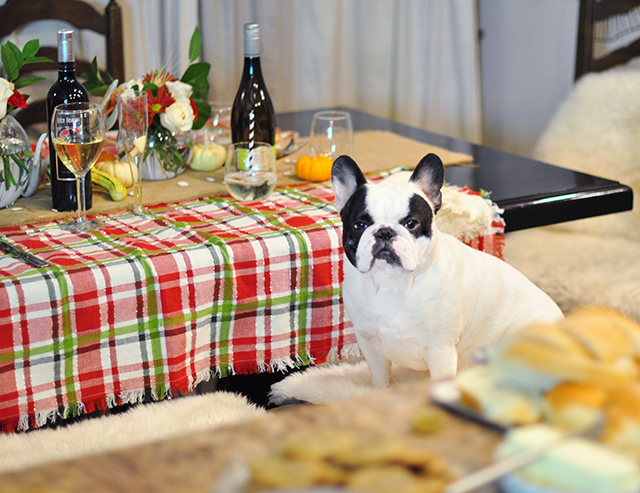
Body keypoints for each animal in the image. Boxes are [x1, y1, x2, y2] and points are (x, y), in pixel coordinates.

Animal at [332, 153, 564, 384]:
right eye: (360, 225)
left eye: (411, 223)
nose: (385, 232)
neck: (391, 284)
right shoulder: (369, 345)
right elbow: (380, 376)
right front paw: (381, 390)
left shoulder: (440, 350)